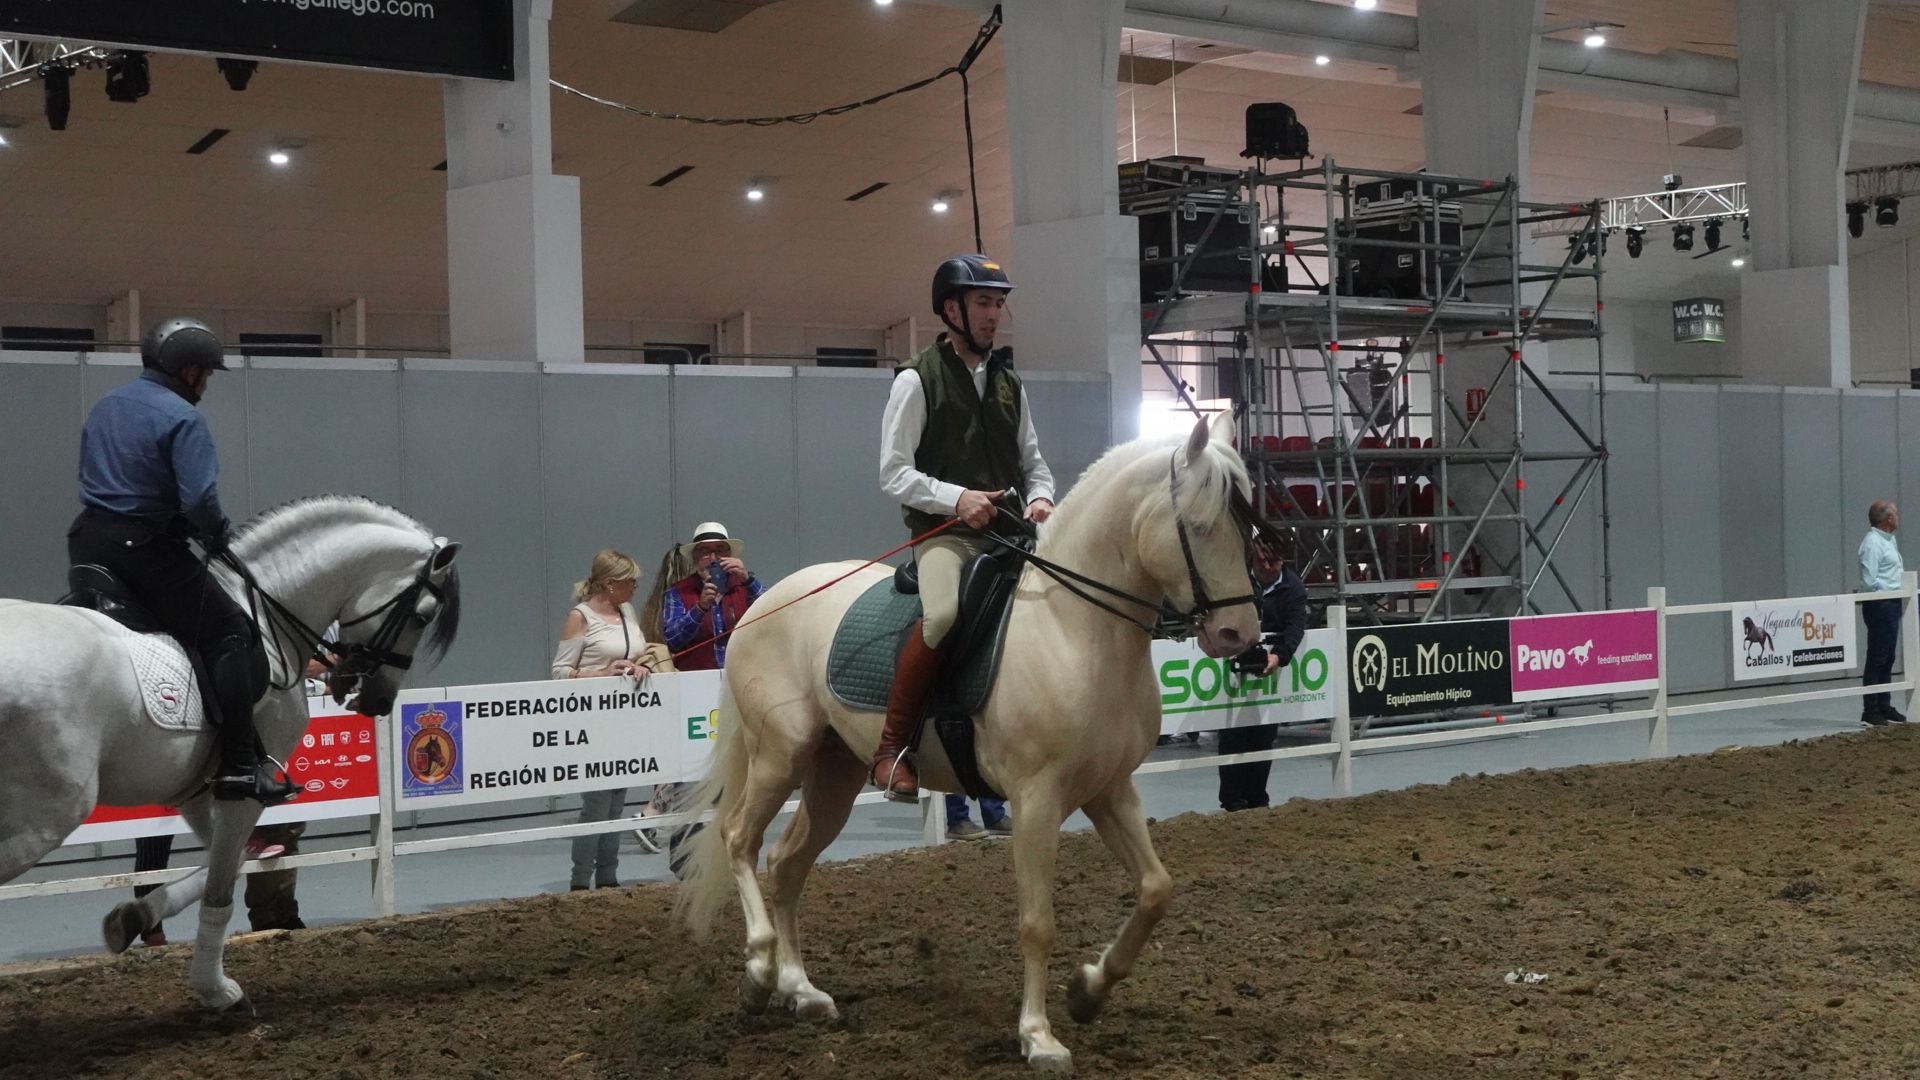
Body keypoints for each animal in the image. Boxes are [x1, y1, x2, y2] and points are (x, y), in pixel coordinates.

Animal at [683, 411, 1267, 1068]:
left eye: (1246, 526)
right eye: (1198, 524)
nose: (1239, 635)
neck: (1071, 627)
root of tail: (762, 605)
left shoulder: (1111, 789)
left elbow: (1155, 890)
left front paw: (1088, 991)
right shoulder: (1036, 800)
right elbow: (1037, 922)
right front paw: (1039, 1037)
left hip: (834, 771)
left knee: (786, 864)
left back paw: (802, 991)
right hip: (780, 755)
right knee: (740, 839)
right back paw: (759, 973)